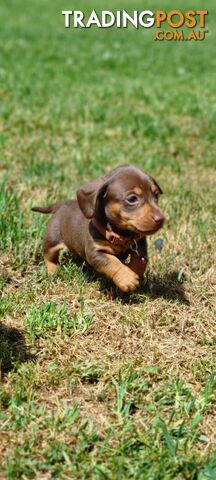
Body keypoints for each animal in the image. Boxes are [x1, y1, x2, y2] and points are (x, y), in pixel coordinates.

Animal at [31, 165, 164, 292]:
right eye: (132, 199)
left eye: (156, 194)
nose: (161, 219)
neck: (120, 235)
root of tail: (62, 205)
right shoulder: (95, 252)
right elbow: (112, 262)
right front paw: (127, 279)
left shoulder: (139, 245)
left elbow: (140, 261)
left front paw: (134, 272)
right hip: (52, 240)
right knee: (49, 256)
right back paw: (52, 271)